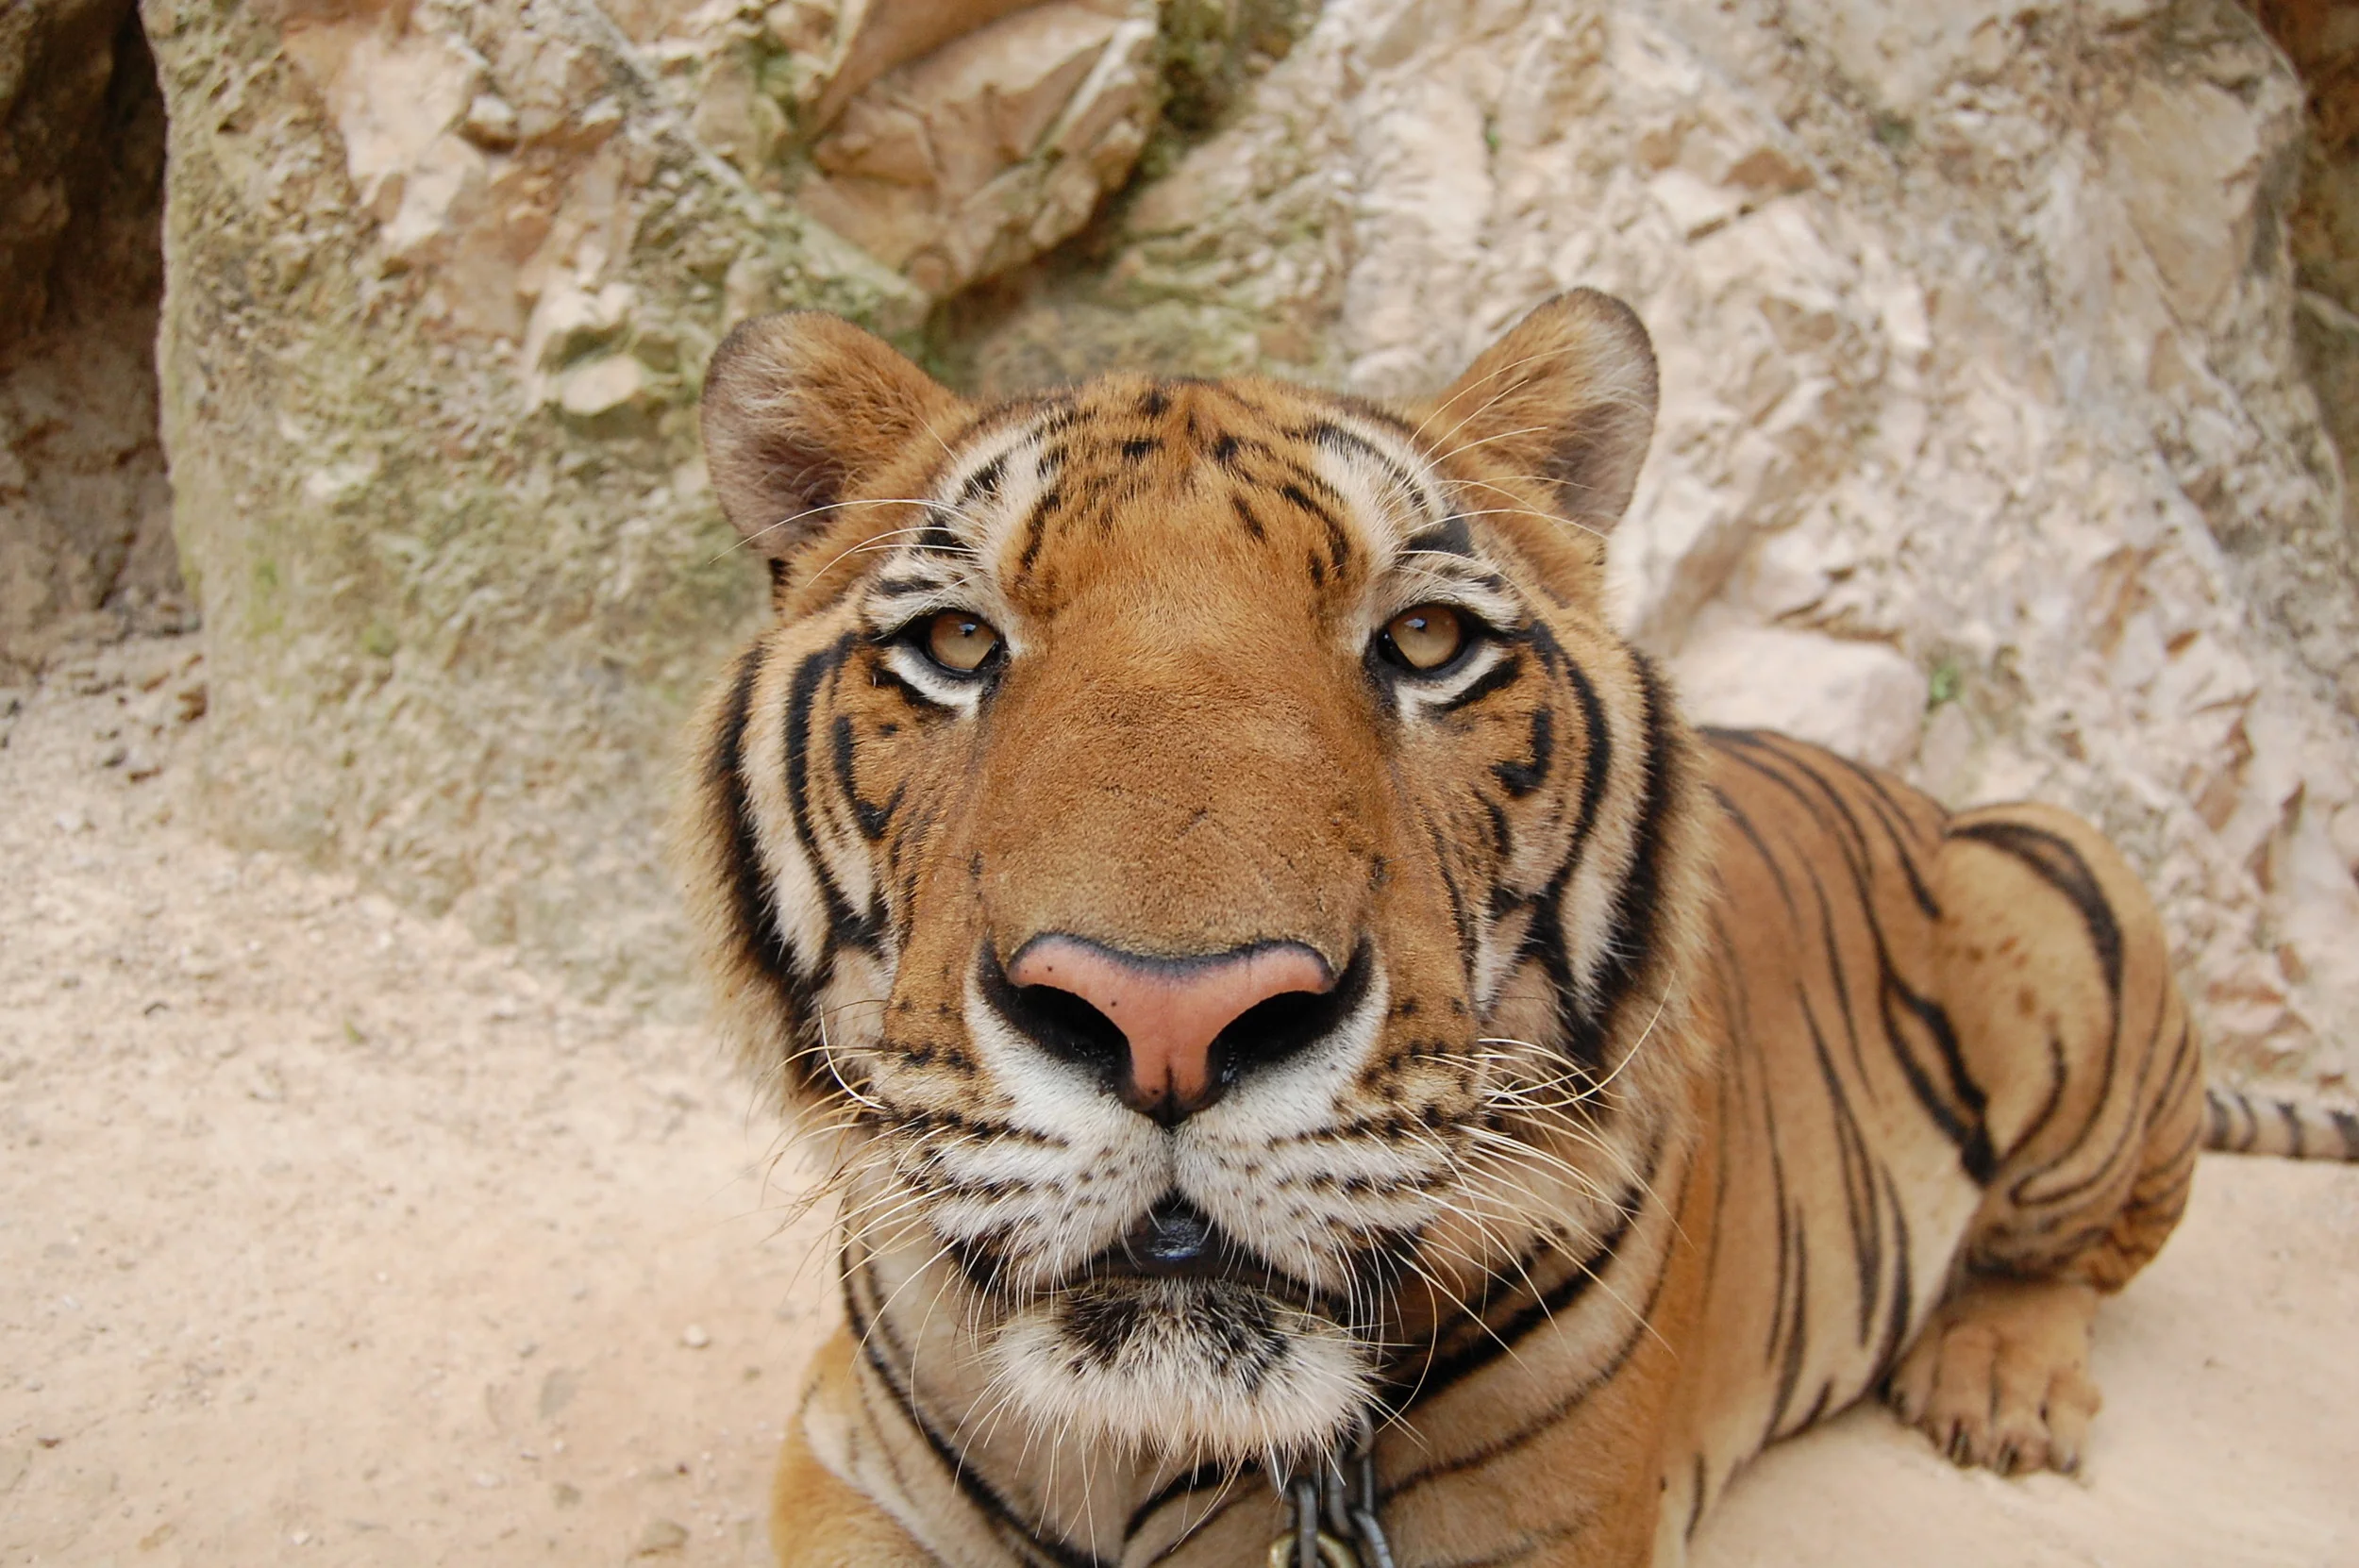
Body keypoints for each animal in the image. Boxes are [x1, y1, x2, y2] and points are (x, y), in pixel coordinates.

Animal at [678, 291, 2359, 1568]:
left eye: (1425, 641)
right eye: (957, 643)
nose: (1169, 1017)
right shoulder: (847, 1462)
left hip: (2058, 872)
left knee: (2078, 1248)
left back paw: (1999, 1381)